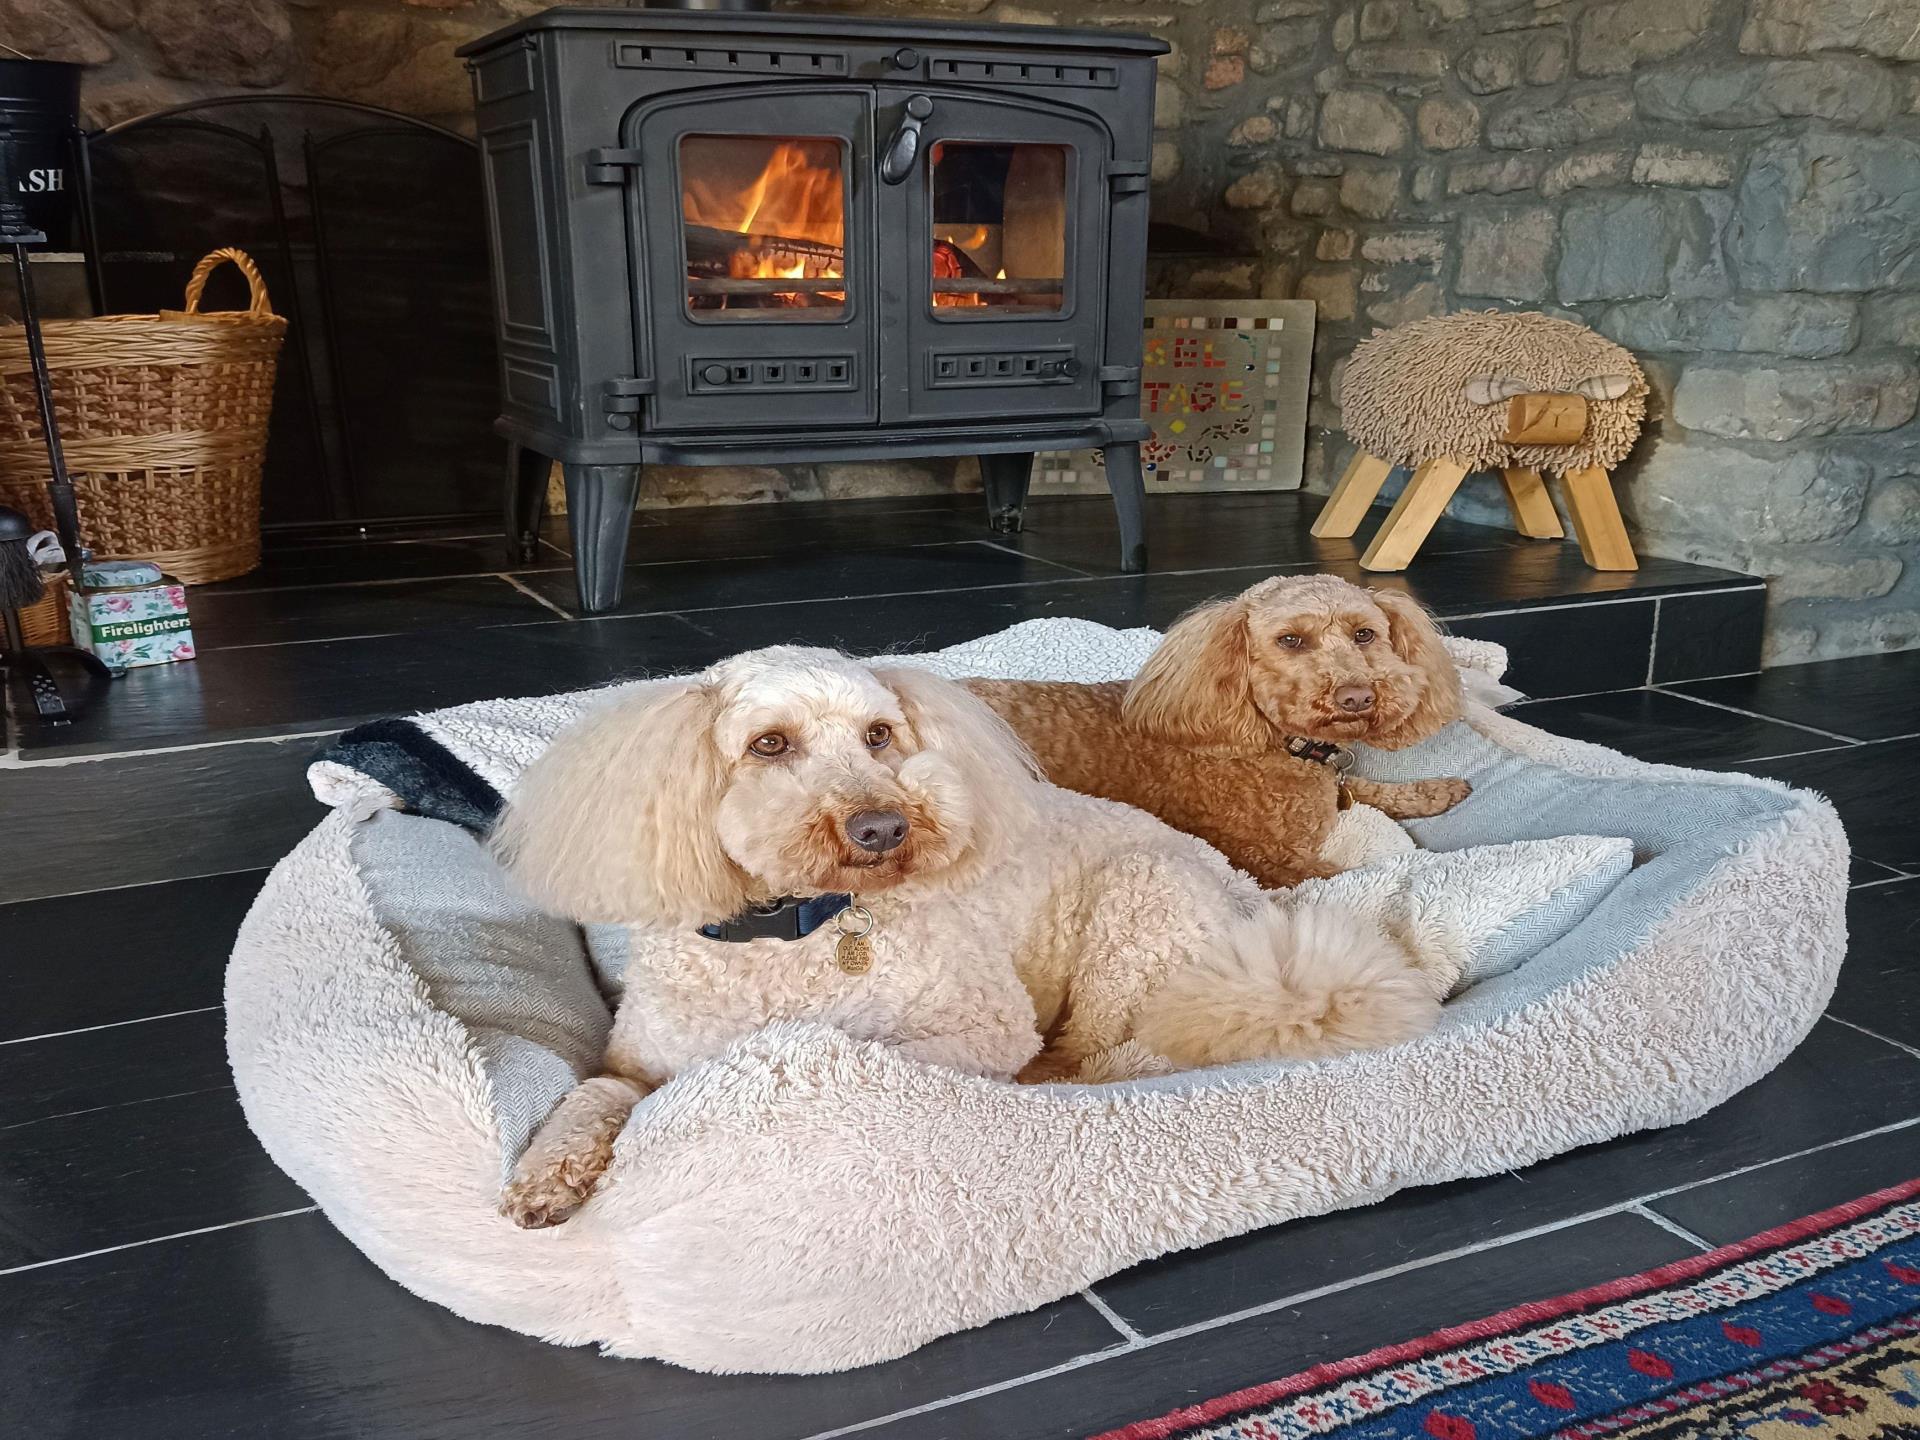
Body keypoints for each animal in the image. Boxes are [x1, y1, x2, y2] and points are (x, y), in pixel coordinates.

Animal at [487, 652, 1436, 1228]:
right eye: (769, 744)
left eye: (879, 735)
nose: (883, 827)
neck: (793, 934)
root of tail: (1246, 890)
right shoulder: (633, 1058)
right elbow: (593, 1095)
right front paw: (545, 1176)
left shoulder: (981, 1026)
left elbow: (869, 1049)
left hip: (1138, 908)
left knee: (1109, 1060)